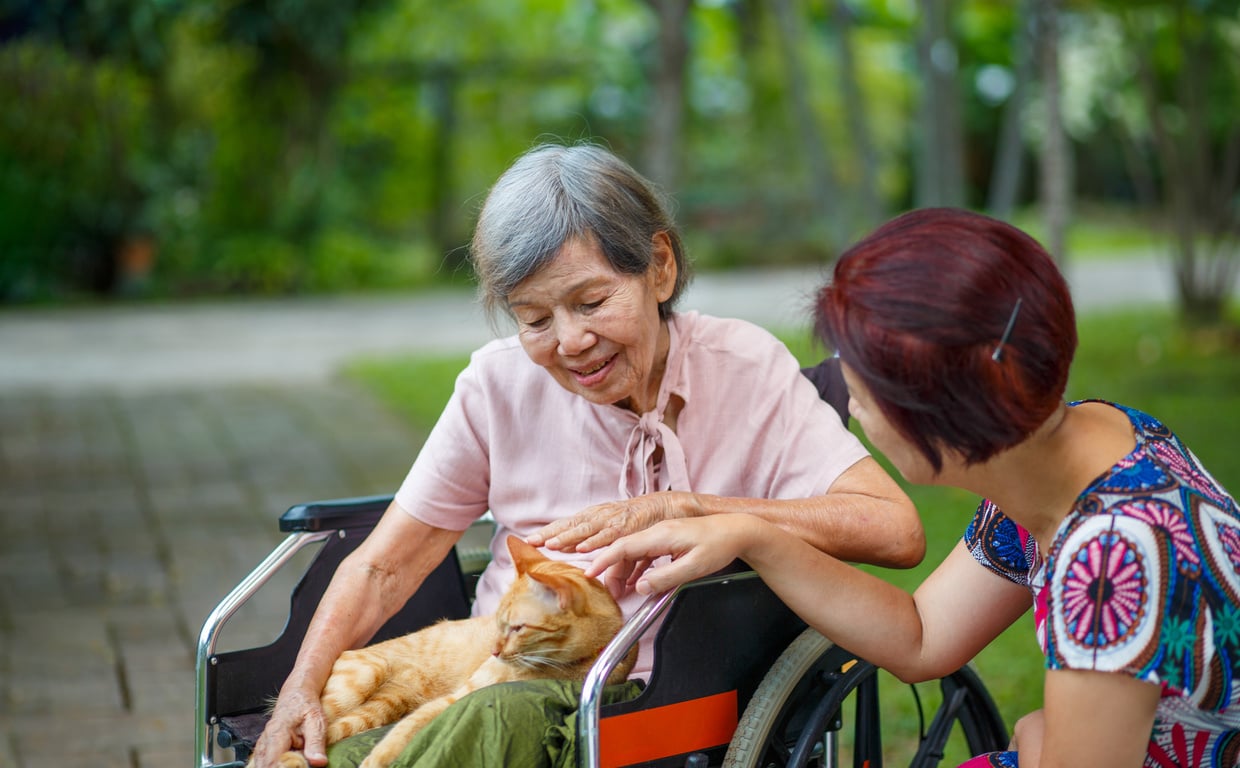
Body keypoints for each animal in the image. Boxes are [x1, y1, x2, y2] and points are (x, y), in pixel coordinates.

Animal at [257, 538, 634, 768]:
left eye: (517, 628)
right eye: (498, 623)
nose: (494, 651)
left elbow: (403, 734)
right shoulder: (454, 698)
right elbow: (403, 734)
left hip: (377, 710)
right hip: (360, 681)